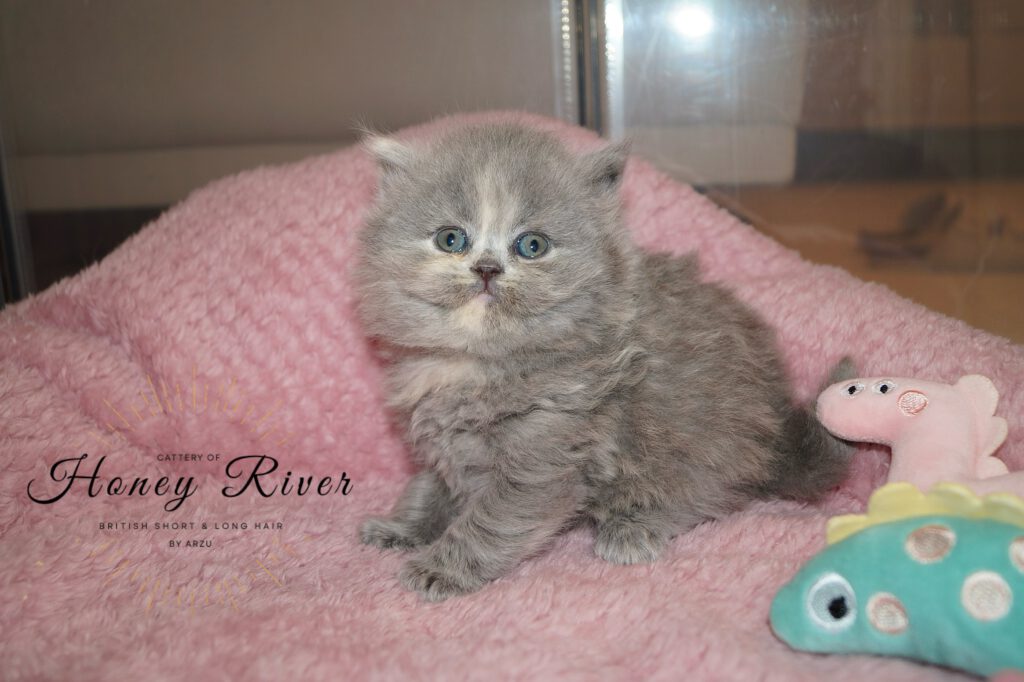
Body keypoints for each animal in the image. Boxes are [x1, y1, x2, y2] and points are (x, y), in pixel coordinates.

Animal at [355, 123, 852, 601]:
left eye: (531, 246)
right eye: (451, 239)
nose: (487, 269)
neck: (476, 362)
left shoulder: (545, 455)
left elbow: (493, 520)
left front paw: (444, 567)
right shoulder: (441, 444)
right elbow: (428, 486)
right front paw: (402, 527)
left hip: (701, 442)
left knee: (706, 494)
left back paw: (631, 528)